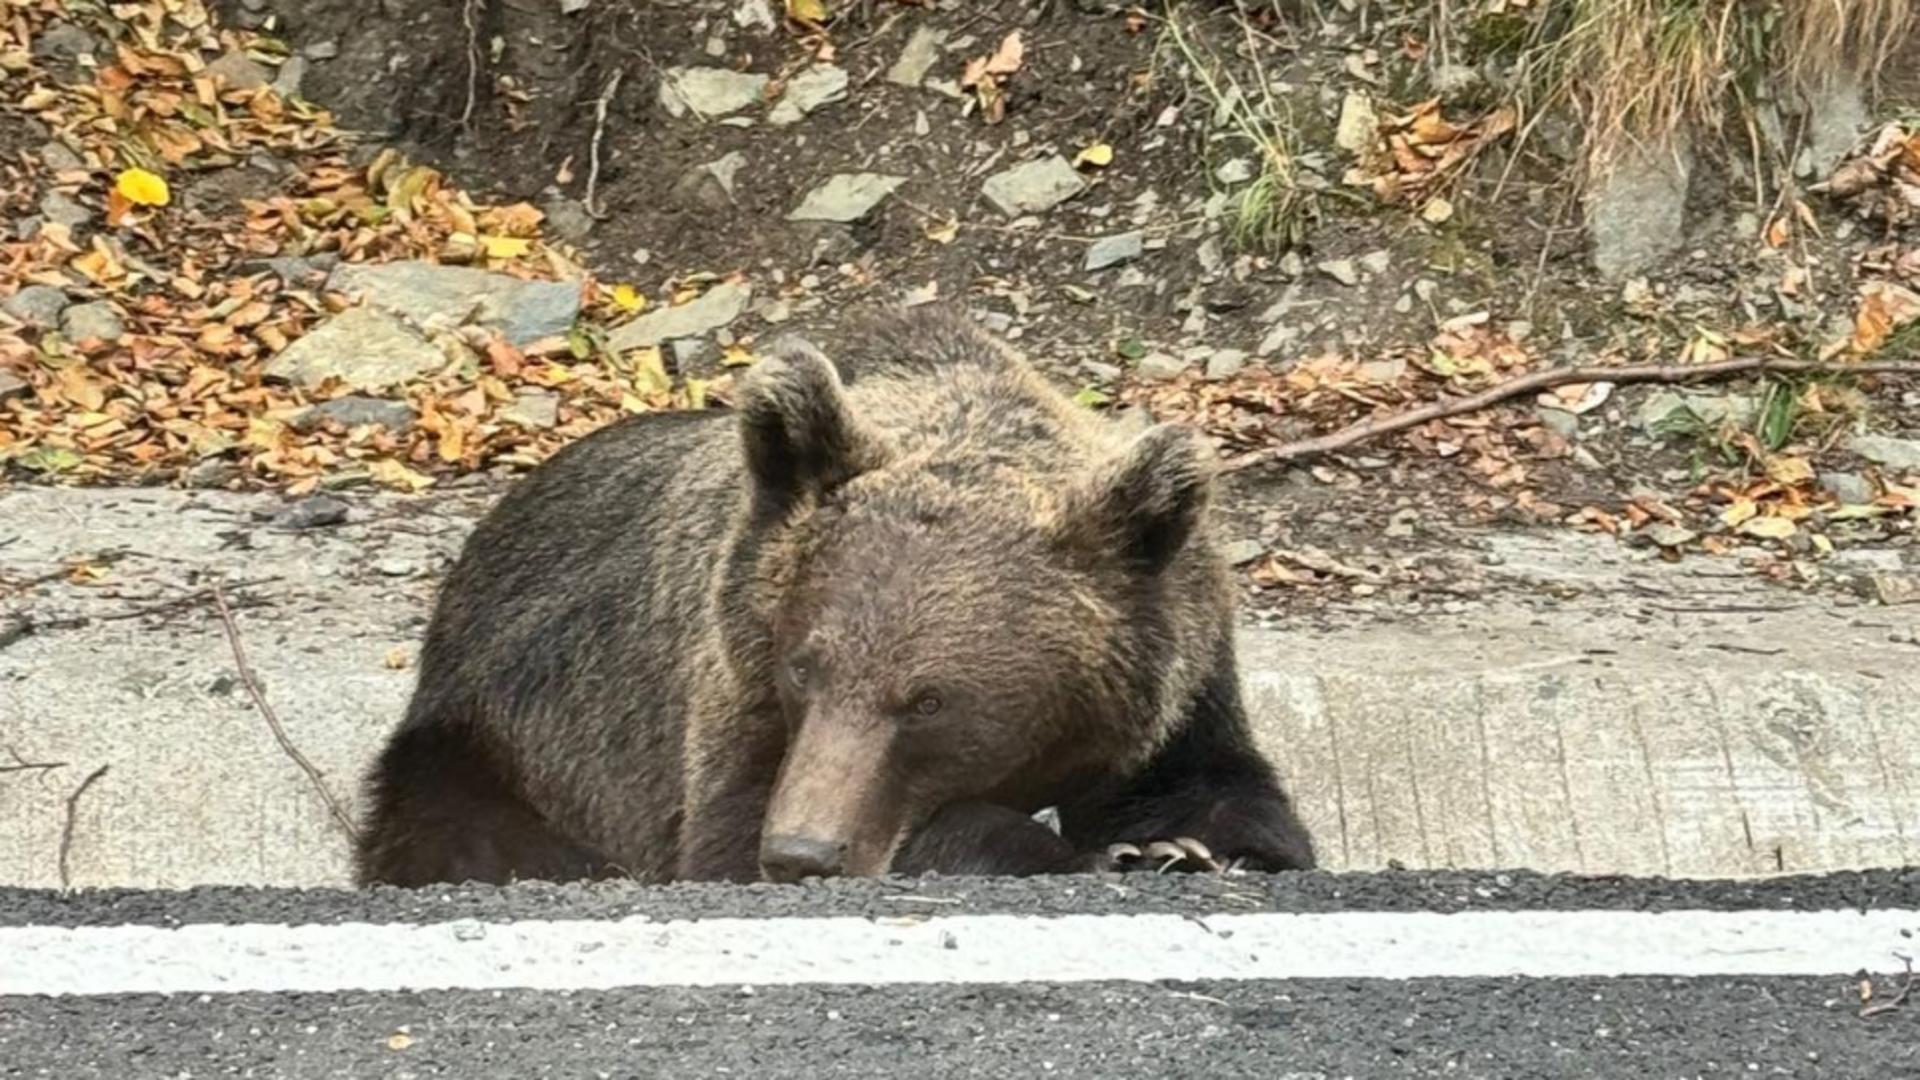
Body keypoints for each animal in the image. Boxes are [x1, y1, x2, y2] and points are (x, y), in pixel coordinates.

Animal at [353, 303, 1320, 883]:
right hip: (497, 738)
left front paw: (1177, 845)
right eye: (802, 671)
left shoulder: (1175, 678)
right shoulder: (729, 678)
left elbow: (1229, 801)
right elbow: (721, 833)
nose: (803, 852)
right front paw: (1081, 851)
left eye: (930, 701)